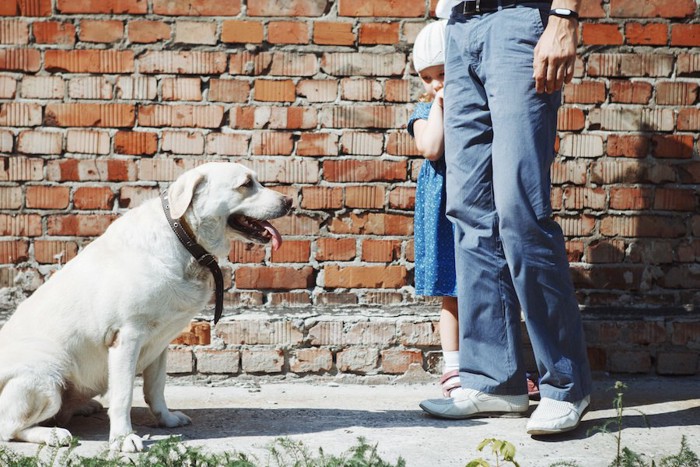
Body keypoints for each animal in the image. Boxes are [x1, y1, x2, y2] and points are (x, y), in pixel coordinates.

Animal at [0, 163, 292, 452]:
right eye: (246, 184)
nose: (289, 201)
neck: (184, 238)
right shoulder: (126, 337)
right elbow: (123, 395)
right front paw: (122, 438)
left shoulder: (160, 342)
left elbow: (156, 388)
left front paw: (167, 419)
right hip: (47, 379)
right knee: (9, 427)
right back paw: (53, 434)